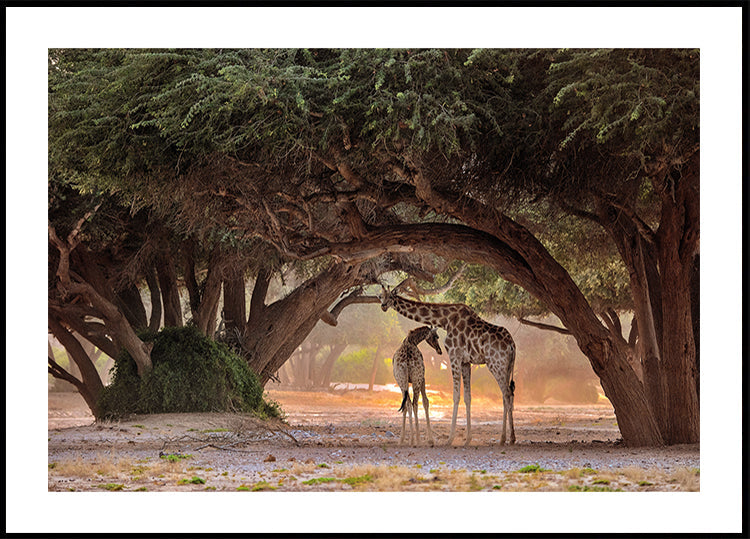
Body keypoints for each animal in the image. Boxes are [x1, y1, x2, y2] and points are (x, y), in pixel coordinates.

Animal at [381, 286, 516, 446]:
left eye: (390, 297)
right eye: (380, 296)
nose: (383, 306)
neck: (445, 319)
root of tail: (512, 345)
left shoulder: (454, 356)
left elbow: (456, 396)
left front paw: (450, 439)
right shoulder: (466, 362)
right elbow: (468, 397)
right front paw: (467, 439)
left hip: (496, 364)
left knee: (506, 394)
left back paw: (505, 438)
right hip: (507, 367)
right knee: (508, 394)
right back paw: (510, 437)